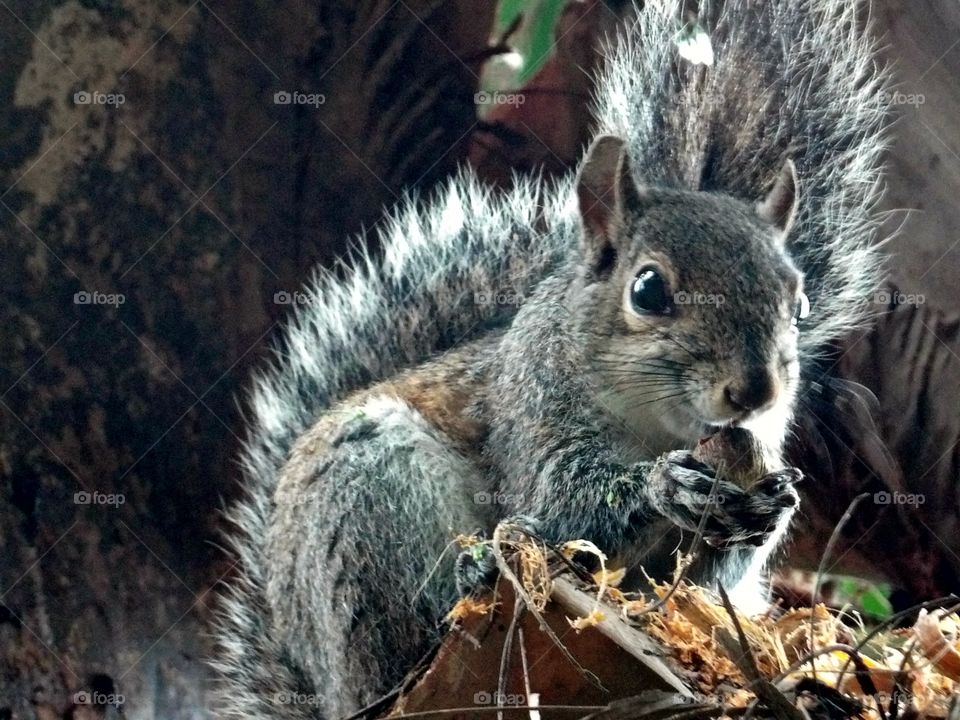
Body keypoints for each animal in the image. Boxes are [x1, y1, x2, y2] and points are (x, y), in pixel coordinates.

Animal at [213, 1, 890, 717]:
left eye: (800, 300)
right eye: (648, 290)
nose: (755, 391)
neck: (657, 425)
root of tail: (325, 679)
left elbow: (696, 588)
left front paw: (771, 506)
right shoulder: (532, 417)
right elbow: (564, 507)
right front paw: (662, 485)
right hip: (371, 502)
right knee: (407, 647)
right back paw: (470, 575)